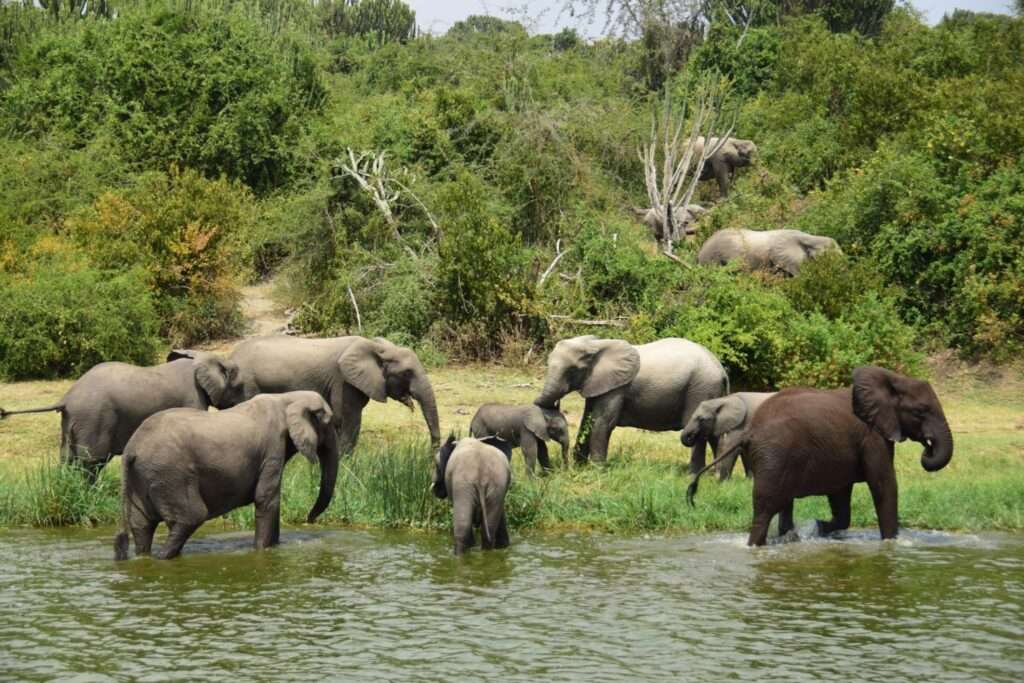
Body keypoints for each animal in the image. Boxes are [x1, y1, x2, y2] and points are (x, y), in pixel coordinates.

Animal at [0, 352, 241, 481]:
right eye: (239, 385)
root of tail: (67, 397)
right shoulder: (192, 398)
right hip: (94, 417)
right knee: (92, 459)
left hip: (72, 421)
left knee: (68, 457)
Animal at [113, 391, 339, 560]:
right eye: (329, 424)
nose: (309, 518)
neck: (287, 398)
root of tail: (131, 449)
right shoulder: (272, 449)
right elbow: (266, 500)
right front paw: (261, 551)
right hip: (170, 474)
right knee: (191, 517)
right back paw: (162, 558)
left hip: (144, 476)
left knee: (142, 525)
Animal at [177, 335, 441, 456]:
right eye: (407, 373)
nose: (432, 453)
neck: (374, 346)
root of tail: (230, 357)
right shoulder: (344, 382)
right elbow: (348, 420)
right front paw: (345, 461)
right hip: (247, 386)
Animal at [534, 336, 729, 471]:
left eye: (573, 370)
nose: (557, 404)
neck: (596, 345)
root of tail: (722, 371)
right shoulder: (597, 384)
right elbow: (587, 421)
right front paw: (580, 467)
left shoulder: (617, 388)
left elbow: (602, 422)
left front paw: (596, 471)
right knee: (714, 434)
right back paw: (715, 476)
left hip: (701, 388)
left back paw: (695, 474)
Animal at [687, 366, 954, 546]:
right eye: (920, 411)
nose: (928, 446)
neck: (892, 379)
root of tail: (750, 432)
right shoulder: (872, 437)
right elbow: (883, 484)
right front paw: (891, 544)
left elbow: (841, 495)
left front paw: (817, 527)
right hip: (773, 455)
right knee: (765, 508)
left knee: (783, 503)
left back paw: (790, 537)